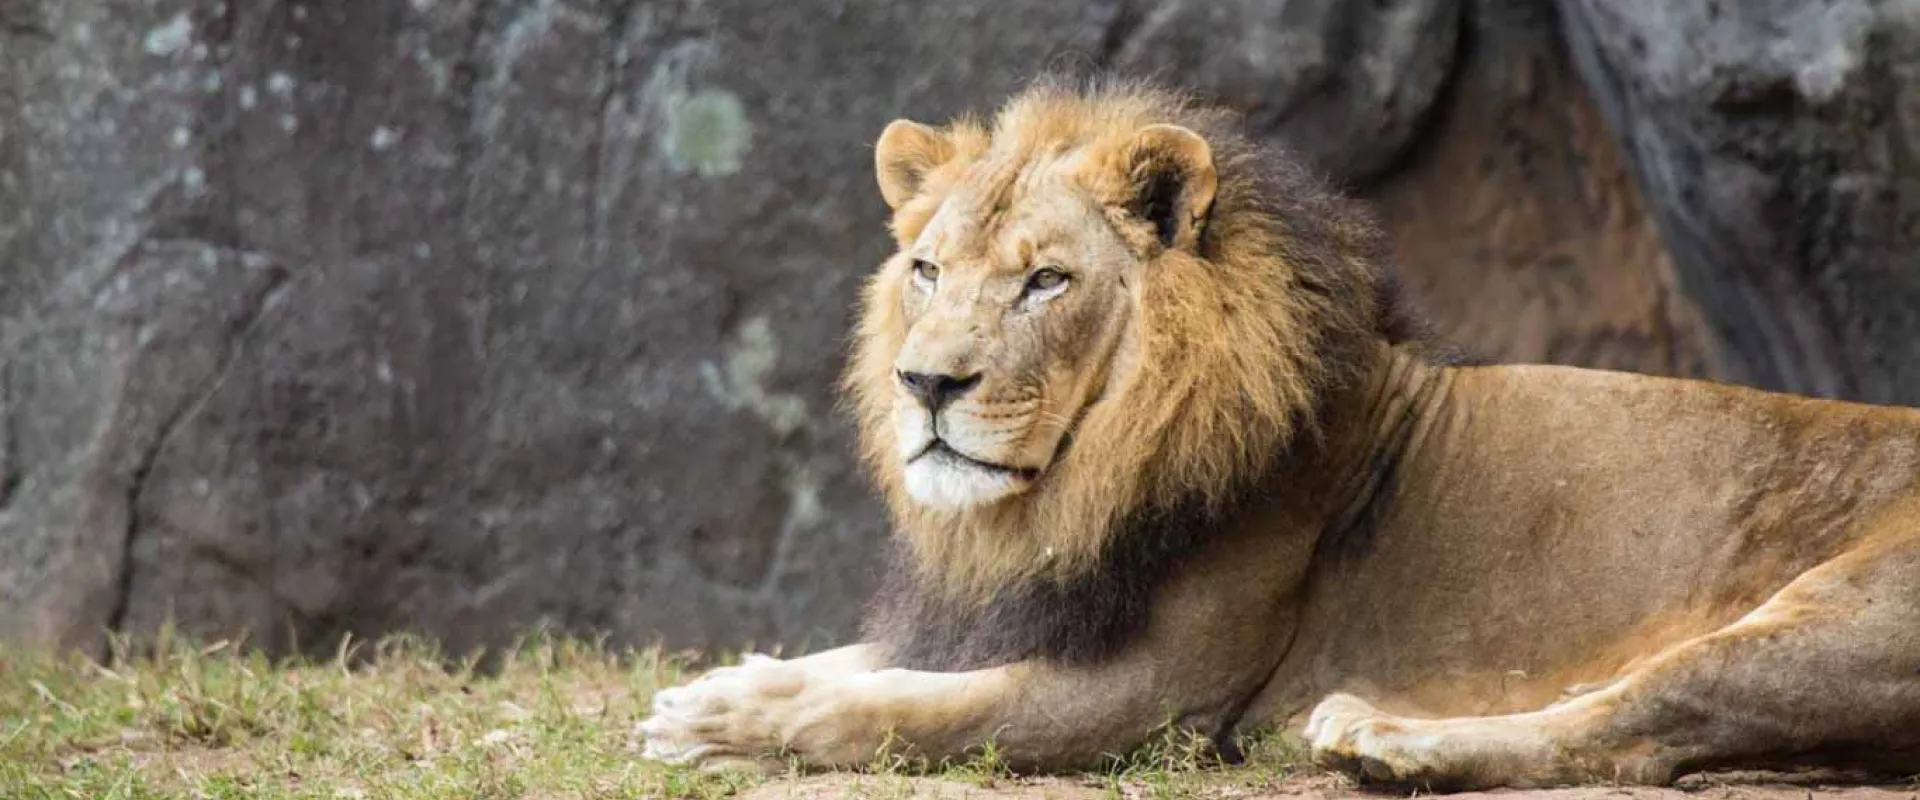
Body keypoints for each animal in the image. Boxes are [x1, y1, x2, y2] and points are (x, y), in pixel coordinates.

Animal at [633, 77, 1920, 790]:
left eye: (1047, 281)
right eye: (927, 269)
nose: (925, 382)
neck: (1070, 487)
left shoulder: (1156, 695)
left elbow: (904, 705)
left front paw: (732, 723)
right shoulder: (1015, 611)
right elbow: (864, 660)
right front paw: (715, 687)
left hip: (1842, 613)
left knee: (1636, 728)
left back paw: (1387, 740)